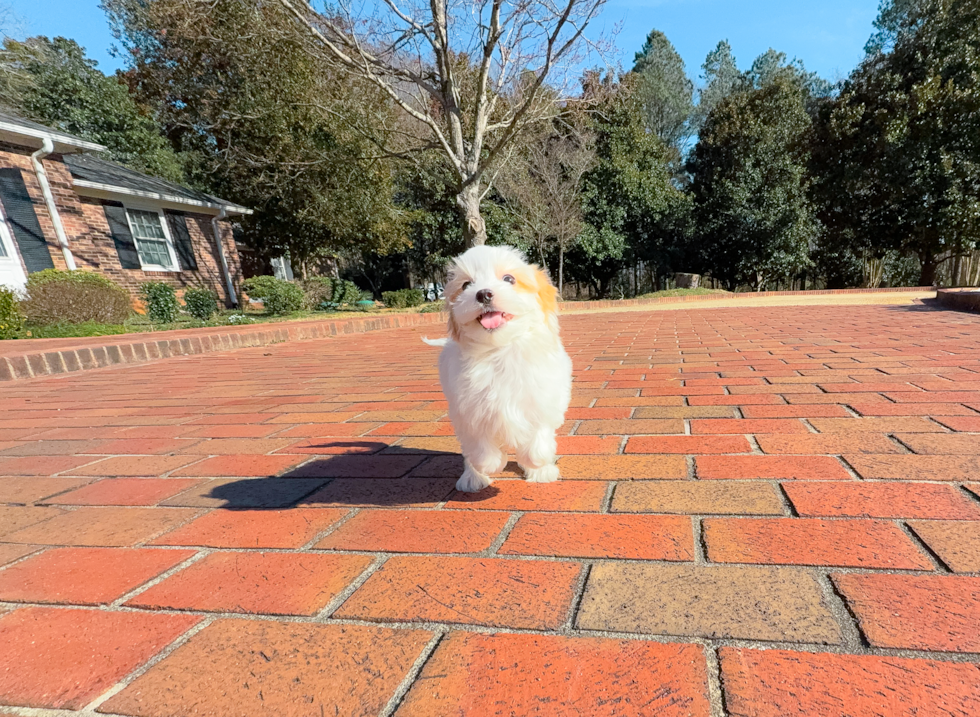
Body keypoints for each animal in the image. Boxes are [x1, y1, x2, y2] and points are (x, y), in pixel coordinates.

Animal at [428, 246, 576, 492]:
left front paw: (535, 463)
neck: (500, 350)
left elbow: (539, 439)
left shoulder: (544, 399)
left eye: (509, 279)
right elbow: (481, 447)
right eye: (466, 285)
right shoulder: (470, 411)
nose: (483, 294)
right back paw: (473, 477)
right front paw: (491, 465)